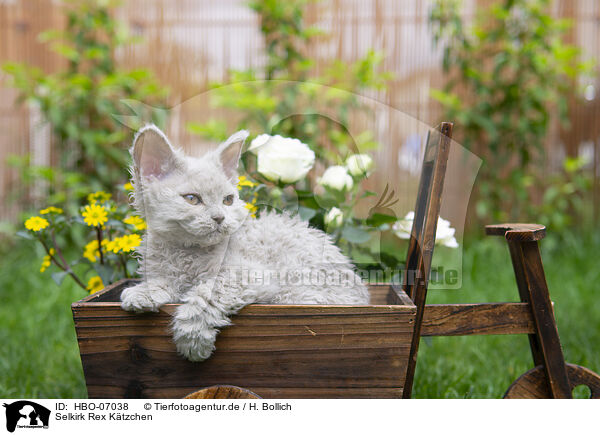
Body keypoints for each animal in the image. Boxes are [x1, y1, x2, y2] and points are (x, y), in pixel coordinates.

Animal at [122, 125, 370, 362]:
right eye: (192, 199)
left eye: (228, 200)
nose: (219, 218)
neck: (186, 252)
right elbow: (162, 281)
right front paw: (143, 293)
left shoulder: (251, 275)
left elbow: (207, 294)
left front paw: (192, 339)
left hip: (299, 292)